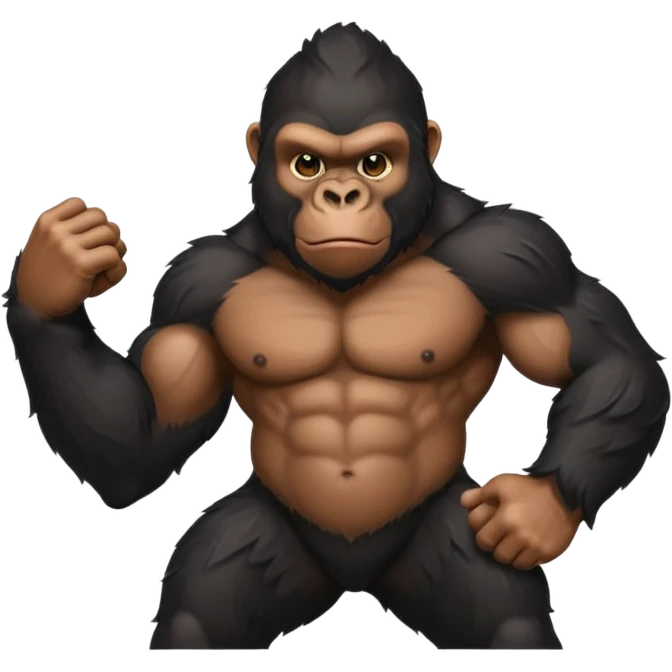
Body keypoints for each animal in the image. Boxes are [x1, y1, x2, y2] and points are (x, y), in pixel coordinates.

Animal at [3, 23, 669, 652]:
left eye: (375, 164)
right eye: (308, 164)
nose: (342, 195)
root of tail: (355, 579)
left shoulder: (519, 254)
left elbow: (610, 361)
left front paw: (535, 509)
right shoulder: (193, 285)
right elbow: (141, 447)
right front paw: (52, 276)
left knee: (509, 622)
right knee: (200, 616)